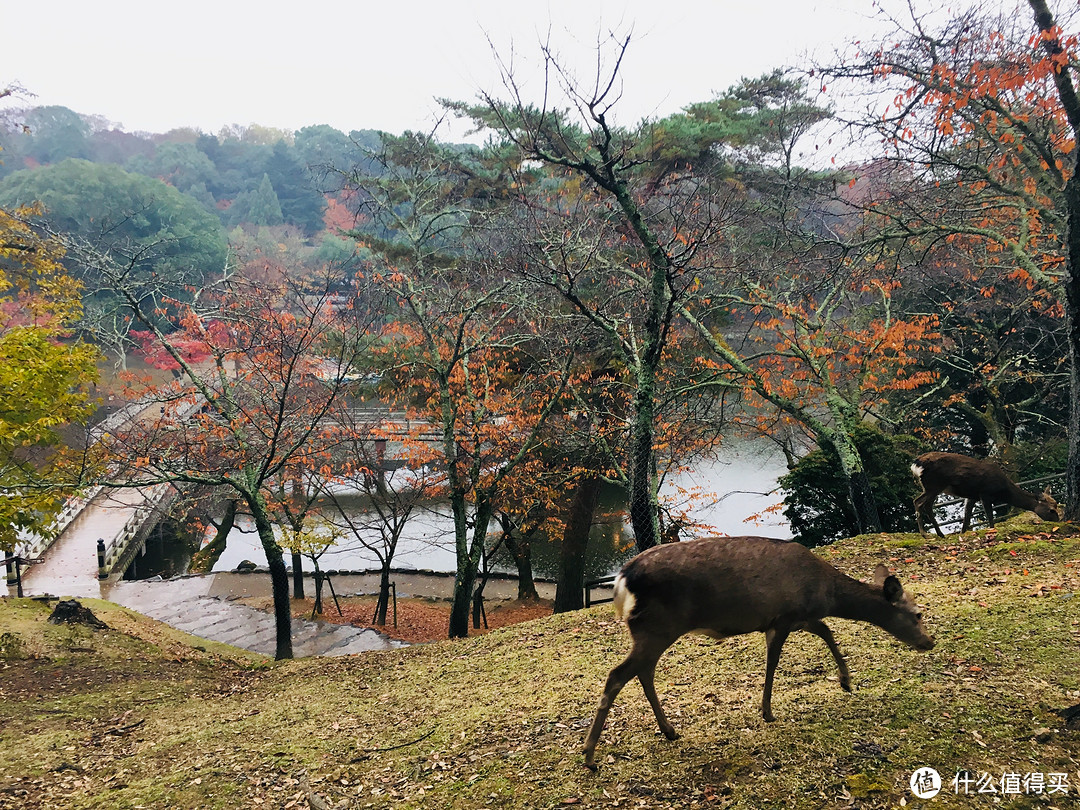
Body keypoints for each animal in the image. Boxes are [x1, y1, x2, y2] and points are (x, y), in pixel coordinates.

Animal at [583, 535, 937, 768]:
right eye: (918, 614)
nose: (929, 642)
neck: (826, 593)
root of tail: (622, 580)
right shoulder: (783, 617)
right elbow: (774, 661)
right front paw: (767, 711)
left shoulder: (800, 617)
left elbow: (826, 631)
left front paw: (846, 681)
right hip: (658, 625)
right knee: (618, 674)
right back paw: (588, 755)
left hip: (652, 630)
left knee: (643, 672)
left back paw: (669, 731)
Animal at [911, 451, 1062, 540]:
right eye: (1051, 510)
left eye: (1056, 505)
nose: (1058, 521)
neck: (1004, 491)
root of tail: (916, 463)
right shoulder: (985, 493)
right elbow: (989, 516)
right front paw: (992, 531)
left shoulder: (971, 496)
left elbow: (966, 518)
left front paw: (962, 534)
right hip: (934, 485)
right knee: (920, 502)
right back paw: (927, 534)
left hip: (930, 487)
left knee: (923, 504)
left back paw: (937, 533)